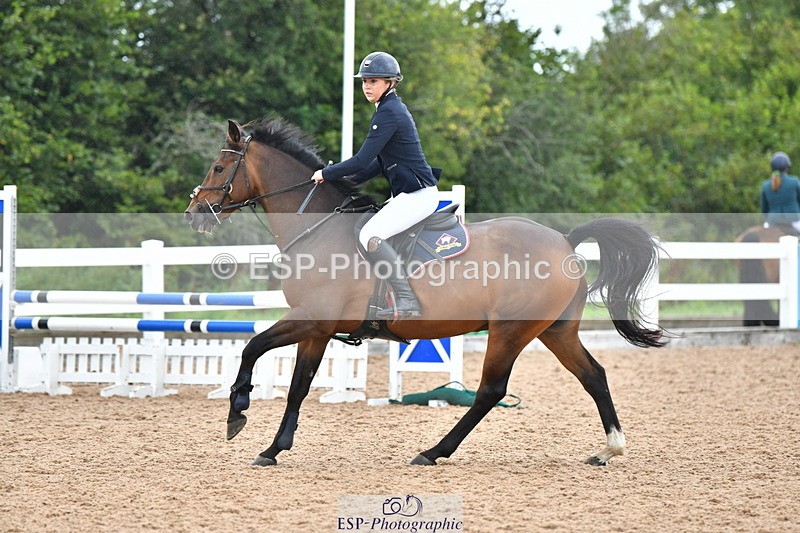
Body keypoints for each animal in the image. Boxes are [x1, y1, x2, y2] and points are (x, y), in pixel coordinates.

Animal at [183, 116, 666, 467]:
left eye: (219, 168)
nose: (194, 214)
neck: (317, 230)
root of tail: (565, 240)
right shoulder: (317, 328)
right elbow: (298, 386)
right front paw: (273, 448)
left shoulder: (310, 317)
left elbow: (252, 347)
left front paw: (238, 411)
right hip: (555, 330)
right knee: (593, 376)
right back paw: (609, 450)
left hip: (510, 331)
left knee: (490, 391)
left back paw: (433, 452)